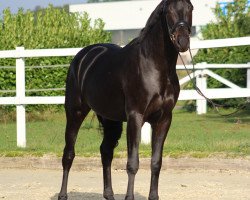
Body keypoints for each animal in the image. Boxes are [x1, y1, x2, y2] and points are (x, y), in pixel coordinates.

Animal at [58, 0, 193, 200]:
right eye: (168, 10)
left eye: (191, 8)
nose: (182, 42)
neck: (154, 67)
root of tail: (82, 57)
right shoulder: (135, 117)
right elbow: (133, 163)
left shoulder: (164, 119)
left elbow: (156, 162)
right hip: (75, 112)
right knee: (68, 154)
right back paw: (62, 194)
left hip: (109, 118)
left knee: (106, 151)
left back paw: (109, 194)